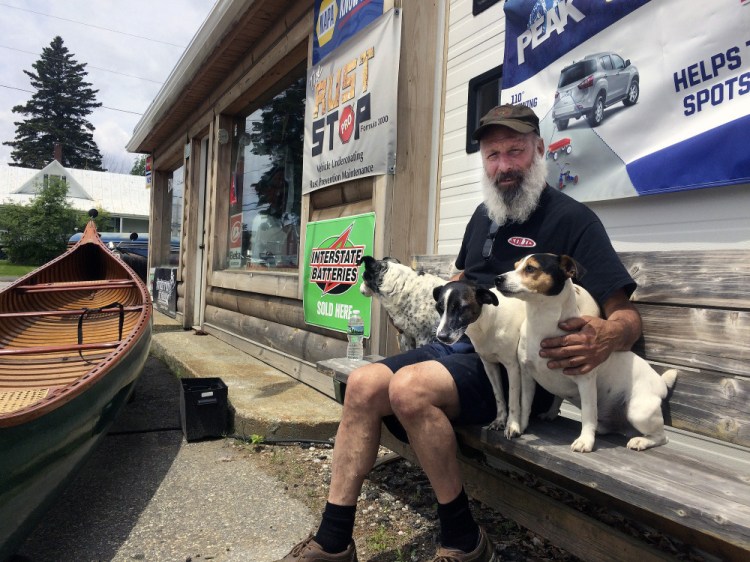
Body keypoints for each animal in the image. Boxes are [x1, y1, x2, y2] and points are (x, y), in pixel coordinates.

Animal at [432, 280, 524, 434]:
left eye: (461, 308)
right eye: (439, 308)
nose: (441, 337)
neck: (487, 325)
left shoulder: (513, 367)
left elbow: (512, 398)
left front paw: (512, 424)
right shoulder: (490, 366)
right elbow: (499, 396)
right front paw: (500, 420)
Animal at [496, 254, 680, 450]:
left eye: (530, 268)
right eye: (516, 265)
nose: (498, 279)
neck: (541, 322)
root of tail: (660, 382)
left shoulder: (586, 382)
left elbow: (588, 414)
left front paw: (585, 441)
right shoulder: (527, 376)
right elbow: (525, 405)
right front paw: (519, 427)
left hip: (638, 411)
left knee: (662, 437)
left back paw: (641, 441)